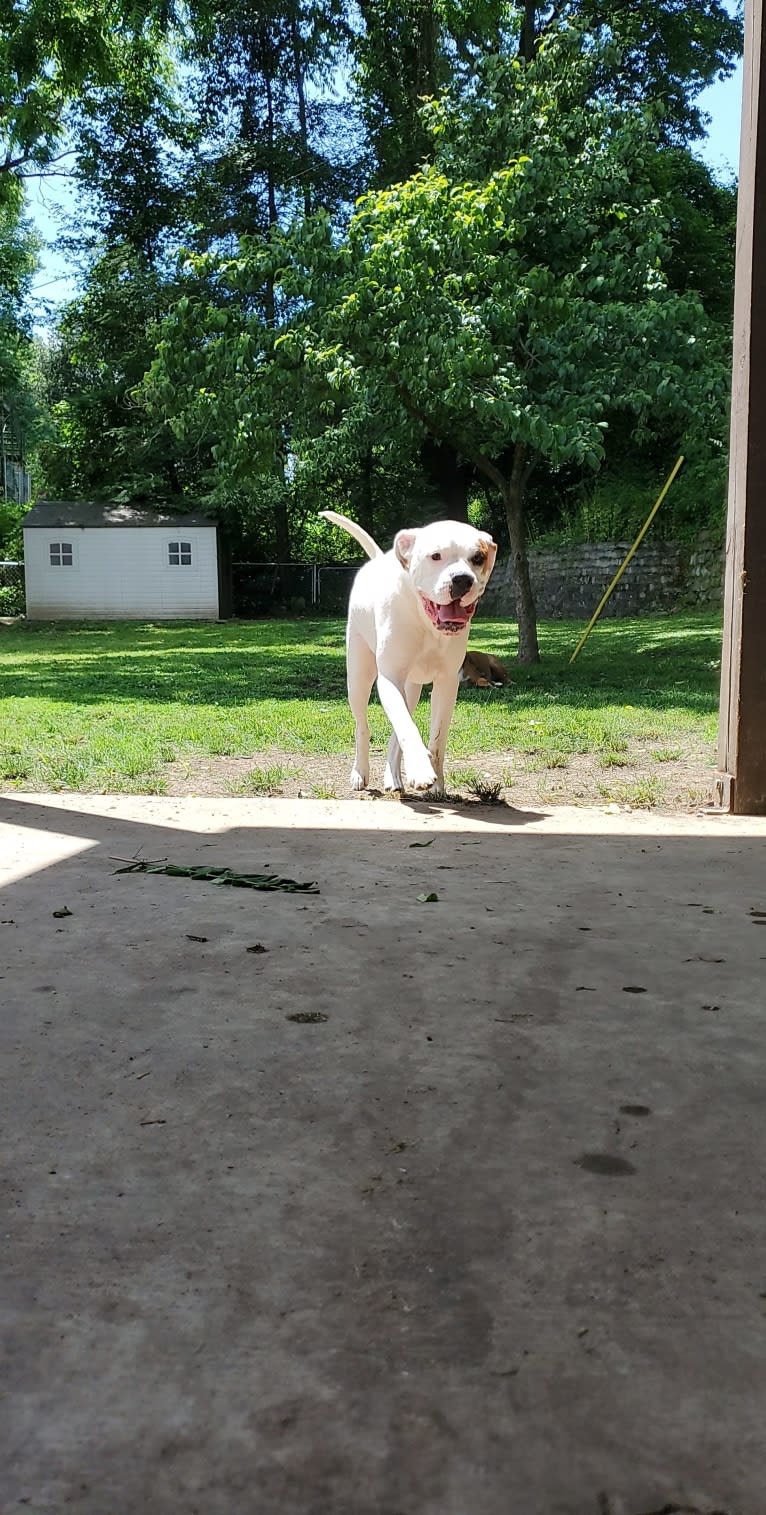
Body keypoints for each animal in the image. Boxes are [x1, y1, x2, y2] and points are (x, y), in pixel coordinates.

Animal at [319, 509, 493, 793]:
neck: (427, 623)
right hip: (359, 678)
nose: (462, 579)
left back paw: (393, 776)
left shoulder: (447, 684)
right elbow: (406, 727)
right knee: (363, 726)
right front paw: (421, 771)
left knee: (396, 732)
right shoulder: (389, 679)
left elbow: (437, 739)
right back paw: (360, 772)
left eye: (478, 558)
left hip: (411, 689)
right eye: (436, 555)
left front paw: (436, 782)